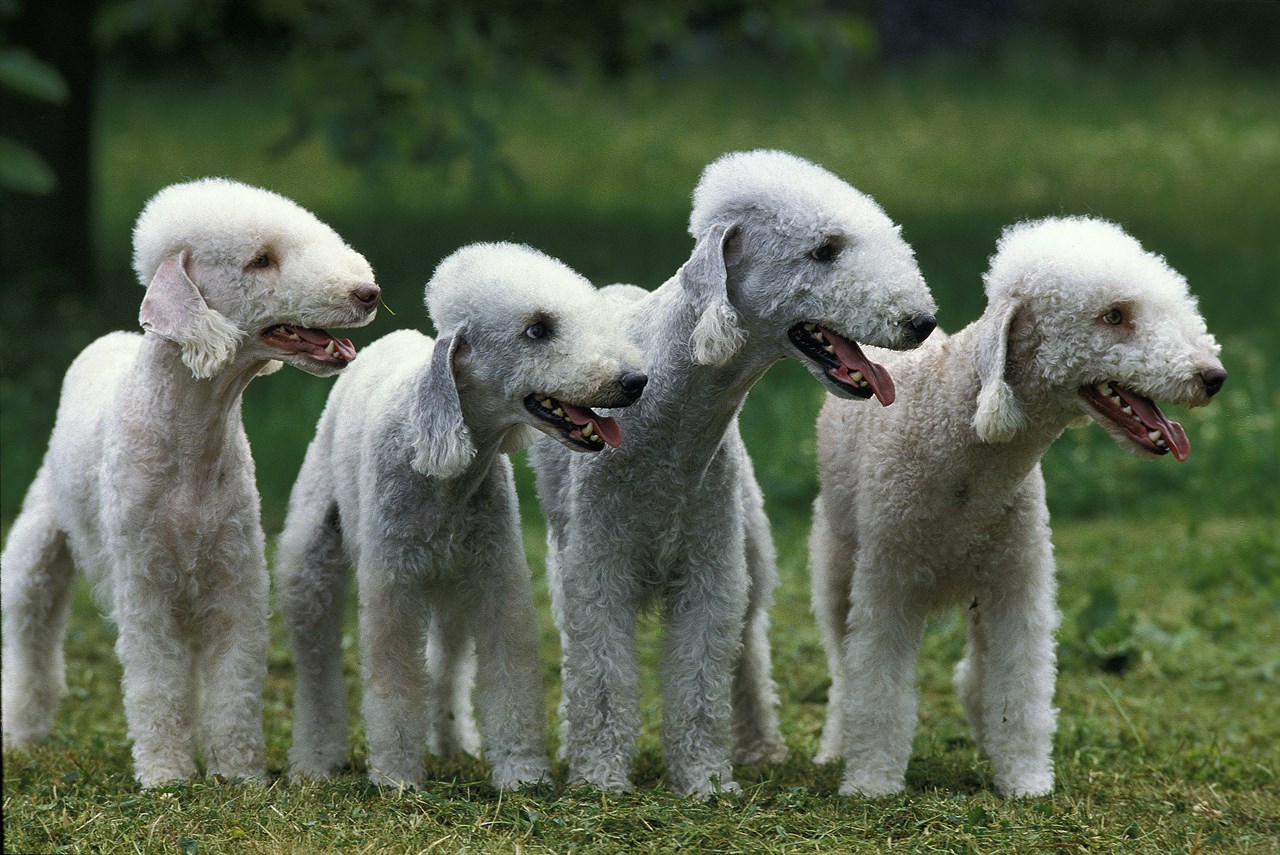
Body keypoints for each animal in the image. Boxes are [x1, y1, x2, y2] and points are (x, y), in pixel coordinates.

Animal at [0, 176, 376, 783]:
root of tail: (106, 341)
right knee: (30, 632)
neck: (190, 434)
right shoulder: (145, 584)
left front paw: (238, 776)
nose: (368, 292)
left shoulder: (234, 577)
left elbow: (234, 682)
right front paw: (165, 775)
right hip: (39, 538)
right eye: (261, 260)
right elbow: (156, 681)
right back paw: (21, 733)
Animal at [275, 240, 645, 788]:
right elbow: (394, 681)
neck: (444, 472)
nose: (635, 381)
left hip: (451, 586)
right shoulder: (392, 588)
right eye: (537, 329)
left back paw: (450, 743)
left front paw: (521, 774)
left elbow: (510, 675)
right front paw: (397, 777)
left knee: (446, 662)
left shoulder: (495, 579)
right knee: (317, 663)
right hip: (312, 558)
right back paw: (316, 759)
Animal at [529, 150, 942, 798]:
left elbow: (703, 678)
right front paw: (599, 780)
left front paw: (705, 780)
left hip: (748, 540)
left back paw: (760, 748)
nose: (921, 321)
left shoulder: (710, 570)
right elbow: (602, 679)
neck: (670, 417)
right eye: (824, 250)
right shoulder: (598, 569)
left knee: (746, 651)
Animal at [814, 217, 1223, 798]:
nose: (1213, 377)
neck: (962, 442)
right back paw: (834, 749)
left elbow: (1019, 686)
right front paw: (871, 783)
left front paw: (1026, 780)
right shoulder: (887, 582)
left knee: (972, 674)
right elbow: (876, 687)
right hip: (835, 555)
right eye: (1114, 315)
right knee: (842, 667)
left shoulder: (1016, 580)